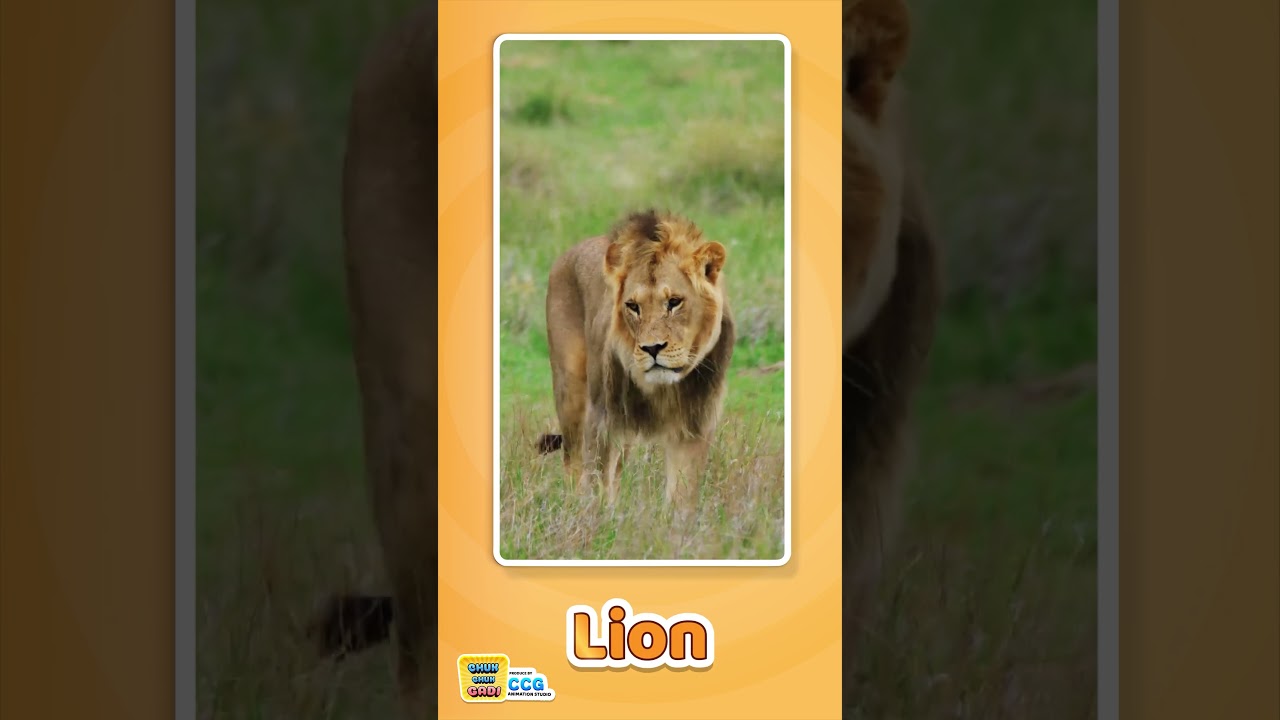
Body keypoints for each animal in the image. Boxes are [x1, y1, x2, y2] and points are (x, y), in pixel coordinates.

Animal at [536, 210, 735, 519]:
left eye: (674, 302)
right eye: (633, 306)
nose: (652, 348)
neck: (663, 390)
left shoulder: (694, 425)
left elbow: (682, 494)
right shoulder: (603, 419)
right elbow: (597, 480)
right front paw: (600, 520)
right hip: (571, 394)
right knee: (574, 461)